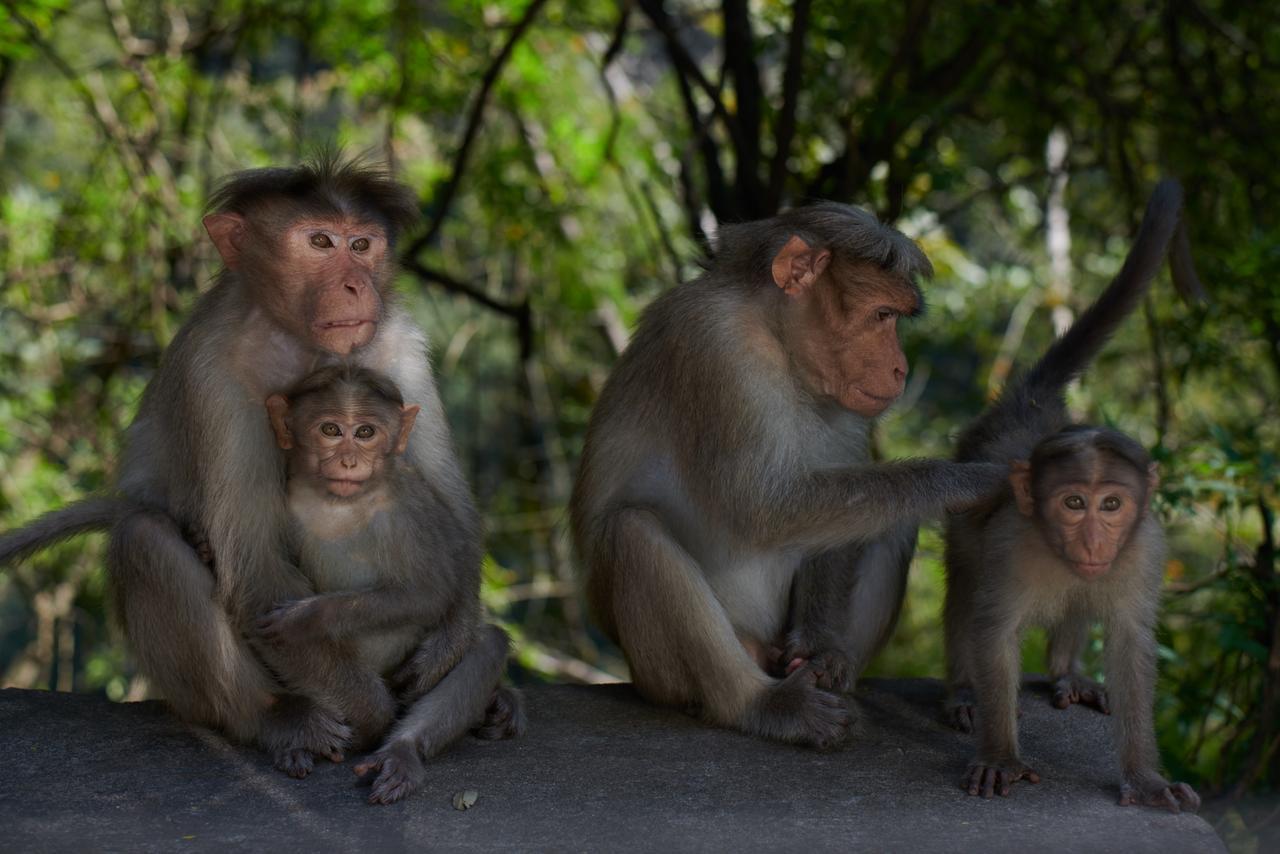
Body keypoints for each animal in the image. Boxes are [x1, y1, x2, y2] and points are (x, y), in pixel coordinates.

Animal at [0, 151, 483, 788]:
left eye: (362, 244)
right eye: (321, 241)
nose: (356, 285)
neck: (298, 339)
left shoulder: (399, 343)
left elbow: (450, 514)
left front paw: (448, 642)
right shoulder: (216, 373)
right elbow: (255, 572)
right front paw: (372, 713)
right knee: (143, 538)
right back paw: (281, 718)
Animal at [254, 366, 519, 804]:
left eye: (365, 432)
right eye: (330, 429)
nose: (349, 461)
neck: (339, 503)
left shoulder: (406, 506)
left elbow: (428, 593)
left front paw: (305, 618)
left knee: (486, 645)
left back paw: (402, 749)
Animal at [576, 201, 1013, 747]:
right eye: (883, 315)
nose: (900, 370)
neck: (778, 344)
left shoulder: (847, 400)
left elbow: (834, 517)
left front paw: (821, 645)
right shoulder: (713, 346)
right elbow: (759, 509)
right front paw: (962, 482)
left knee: (887, 518)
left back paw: (835, 667)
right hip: (662, 673)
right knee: (633, 531)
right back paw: (764, 705)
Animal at [947, 180, 1203, 814]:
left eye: (1111, 505)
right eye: (1072, 504)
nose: (1091, 540)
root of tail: (1031, 406)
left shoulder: (1145, 547)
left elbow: (1132, 644)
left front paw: (1145, 778)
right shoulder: (1011, 542)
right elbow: (994, 631)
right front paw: (1001, 756)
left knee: (1081, 600)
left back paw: (1068, 671)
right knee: (965, 580)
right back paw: (962, 693)